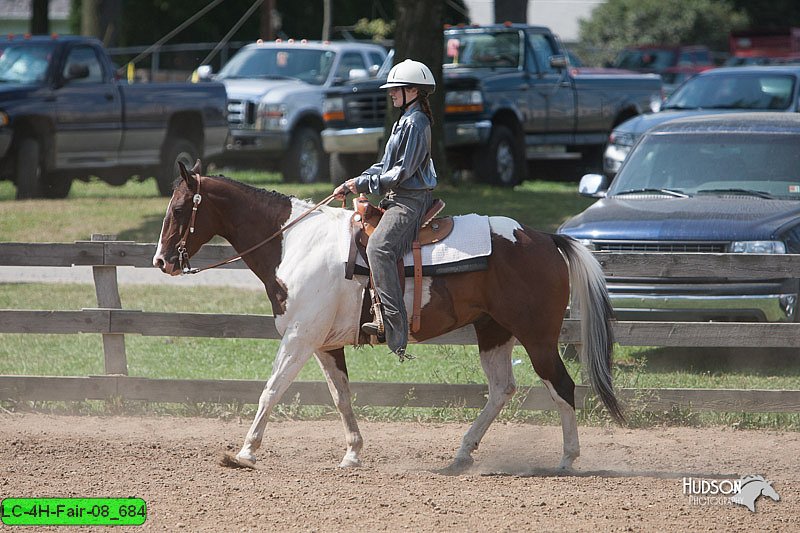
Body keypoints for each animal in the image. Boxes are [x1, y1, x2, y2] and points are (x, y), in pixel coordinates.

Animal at [153, 162, 620, 470]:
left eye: (178, 210)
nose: (161, 262)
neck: (295, 242)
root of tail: (545, 238)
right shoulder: (324, 344)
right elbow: (341, 396)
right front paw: (353, 453)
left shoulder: (300, 338)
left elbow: (271, 390)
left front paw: (245, 453)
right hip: (494, 331)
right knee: (502, 388)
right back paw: (462, 453)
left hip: (537, 337)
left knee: (562, 386)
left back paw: (567, 459)